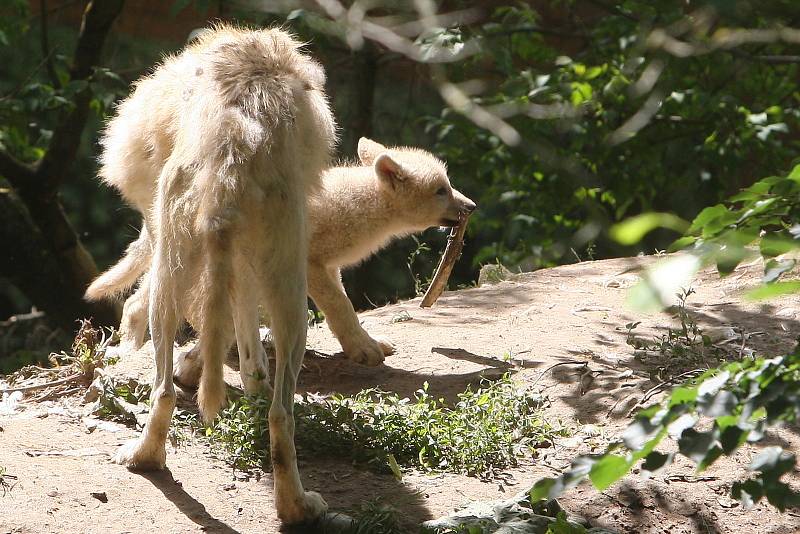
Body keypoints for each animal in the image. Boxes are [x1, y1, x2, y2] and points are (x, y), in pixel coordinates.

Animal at [94, 26, 338, 528]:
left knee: (166, 388)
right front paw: (249, 384)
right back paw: (296, 505)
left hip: (175, 280)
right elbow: (247, 350)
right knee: (277, 411)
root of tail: (233, 152)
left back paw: (147, 458)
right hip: (284, 294)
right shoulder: (245, 269)